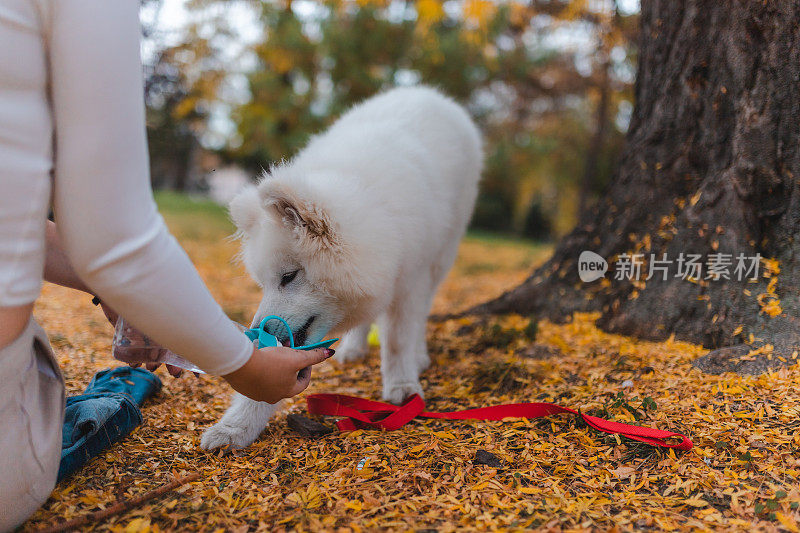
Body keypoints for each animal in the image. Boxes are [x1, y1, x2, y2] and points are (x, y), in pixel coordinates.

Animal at [200, 84, 482, 448]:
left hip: (443, 254)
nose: (259, 332)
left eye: (289, 277)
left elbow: (398, 339)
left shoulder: (411, 278)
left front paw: (402, 385)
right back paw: (354, 348)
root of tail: (425, 91)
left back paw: (417, 355)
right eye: (264, 284)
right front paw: (235, 427)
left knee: (421, 313)